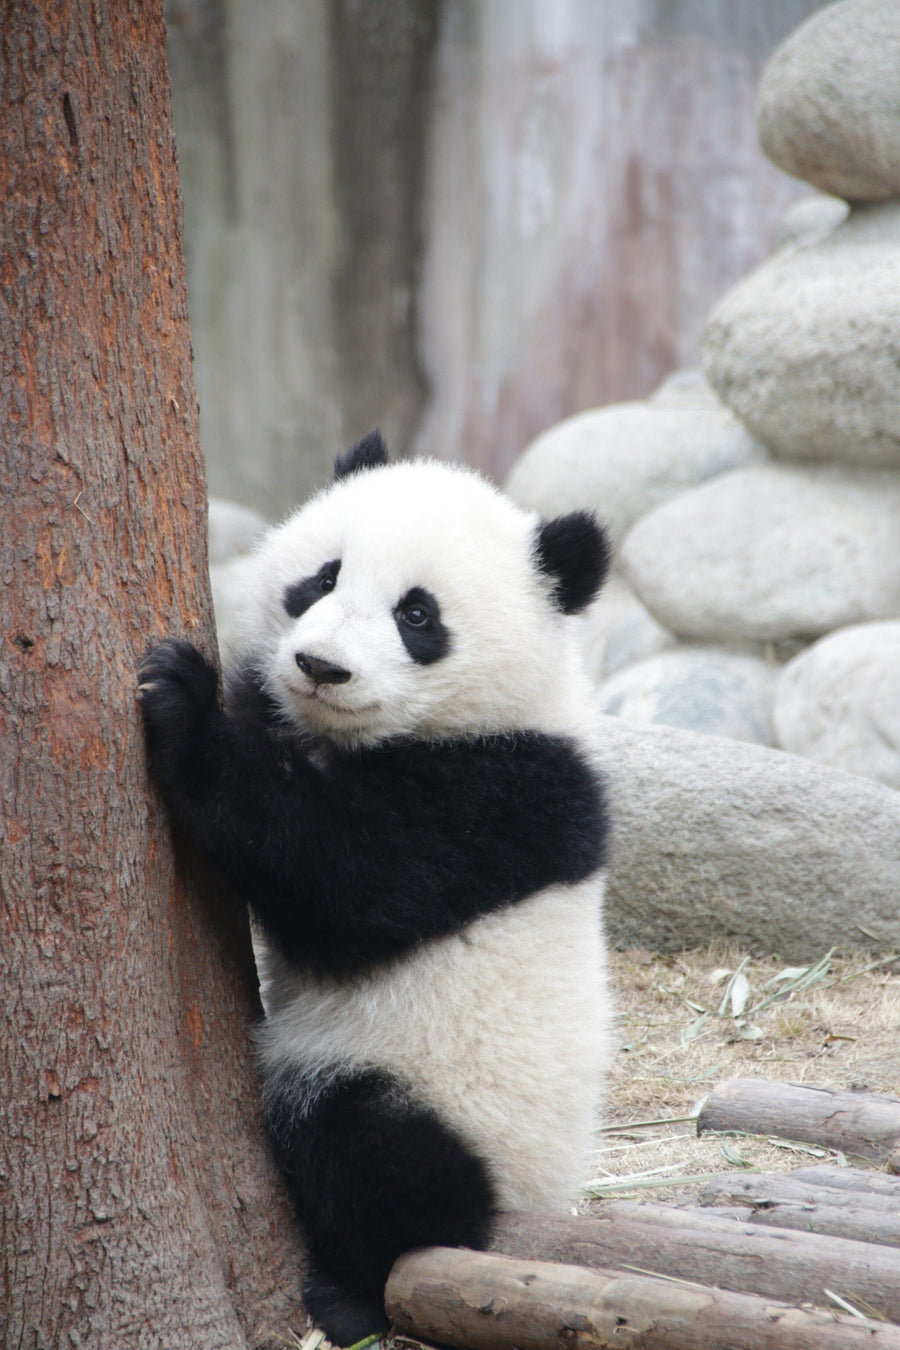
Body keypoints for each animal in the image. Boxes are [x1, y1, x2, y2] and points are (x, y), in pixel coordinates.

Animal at [138, 431, 612, 1346]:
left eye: (417, 616)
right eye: (323, 578)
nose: (320, 666)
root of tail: (534, 1202)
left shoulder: (501, 792)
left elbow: (349, 883)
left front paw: (183, 704)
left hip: (439, 1086)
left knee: (381, 1161)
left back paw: (354, 1288)